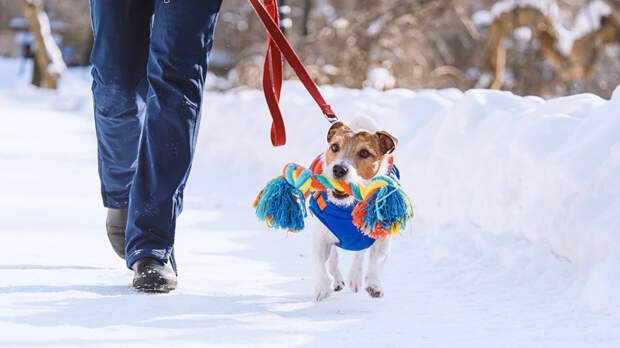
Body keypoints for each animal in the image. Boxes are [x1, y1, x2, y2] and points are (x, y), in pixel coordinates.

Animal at [308, 117, 400, 302]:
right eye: (334, 147)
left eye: (364, 153)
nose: (338, 169)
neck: (347, 208)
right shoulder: (321, 237)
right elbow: (321, 263)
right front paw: (322, 287)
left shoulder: (382, 237)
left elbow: (375, 259)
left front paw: (373, 284)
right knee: (333, 256)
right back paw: (336, 279)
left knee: (360, 253)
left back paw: (355, 277)